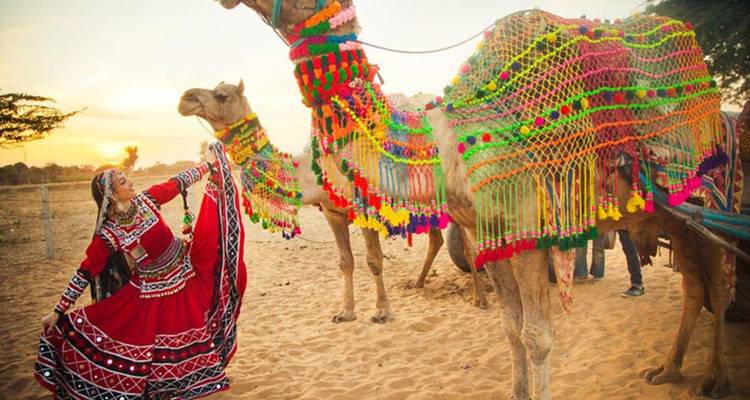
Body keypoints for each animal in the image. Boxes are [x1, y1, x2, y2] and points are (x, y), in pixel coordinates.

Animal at [178, 81, 487, 324]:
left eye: (222, 95)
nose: (185, 98)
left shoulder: (365, 210)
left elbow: (374, 261)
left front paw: (382, 311)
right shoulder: (333, 213)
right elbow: (345, 262)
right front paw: (345, 312)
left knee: (467, 243)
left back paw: (479, 298)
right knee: (437, 239)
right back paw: (419, 283)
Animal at [210, 1, 738, 398]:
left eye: (219, 95)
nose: (191, 98)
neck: (446, 145)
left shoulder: (528, 234)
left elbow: (537, 336)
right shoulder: (492, 237)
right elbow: (510, 328)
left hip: (711, 200)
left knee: (718, 282)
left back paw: (713, 378)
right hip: (677, 218)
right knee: (695, 286)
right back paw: (668, 370)